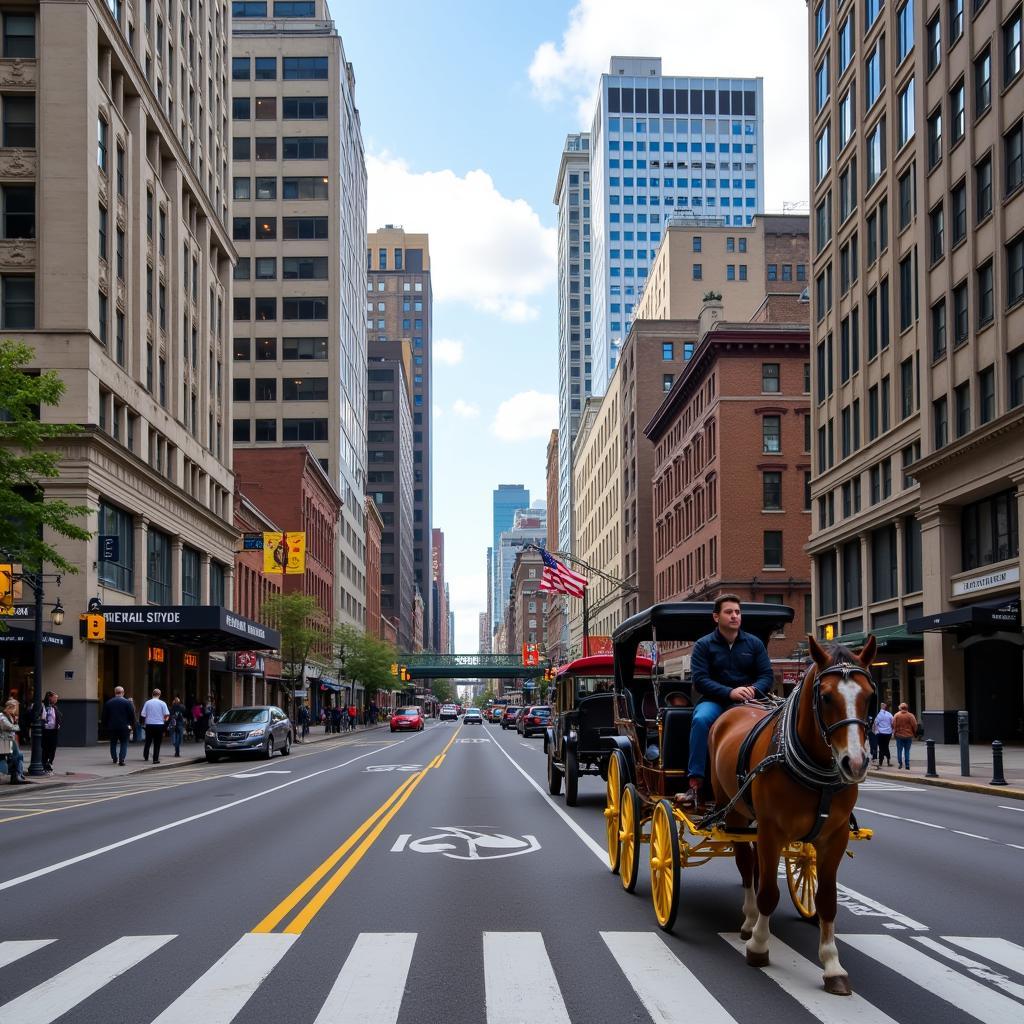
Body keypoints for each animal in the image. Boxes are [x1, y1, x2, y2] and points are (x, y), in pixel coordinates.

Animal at [708, 630, 876, 991]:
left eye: (870, 696)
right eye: (825, 697)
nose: (855, 763)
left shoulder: (834, 836)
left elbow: (827, 899)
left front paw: (832, 965)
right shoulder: (772, 829)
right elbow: (769, 892)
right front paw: (758, 946)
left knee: (755, 865)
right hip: (734, 811)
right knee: (746, 866)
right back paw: (749, 921)